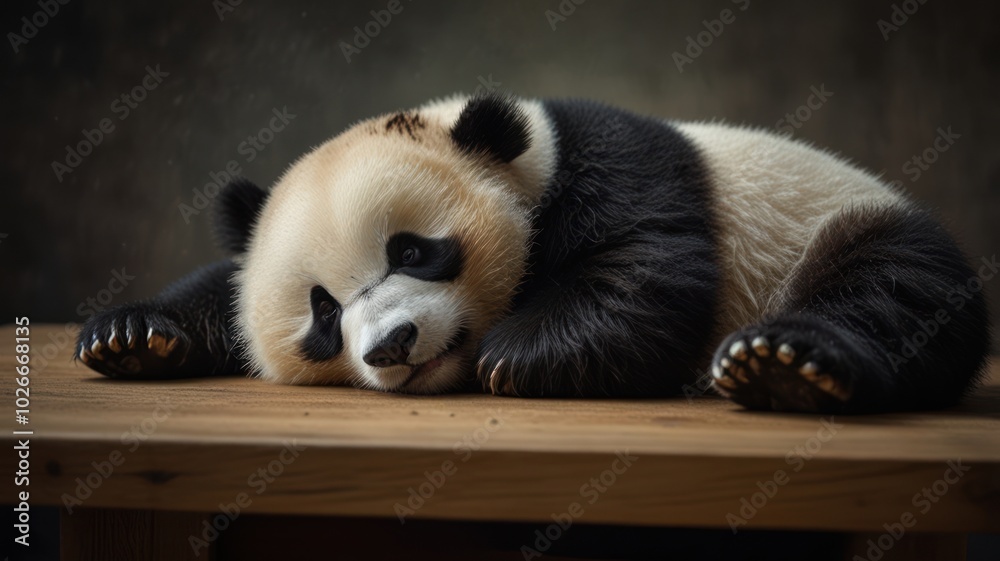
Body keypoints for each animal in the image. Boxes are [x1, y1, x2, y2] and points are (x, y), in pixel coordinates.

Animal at [75, 93, 991, 413]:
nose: (393, 345)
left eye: (414, 249)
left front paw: (518, 355)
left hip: (835, 220)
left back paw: (784, 365)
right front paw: (131, 337)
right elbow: (223, 284)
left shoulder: (617, 166)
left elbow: (645, 269)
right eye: (324, 311)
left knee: (891, 285)